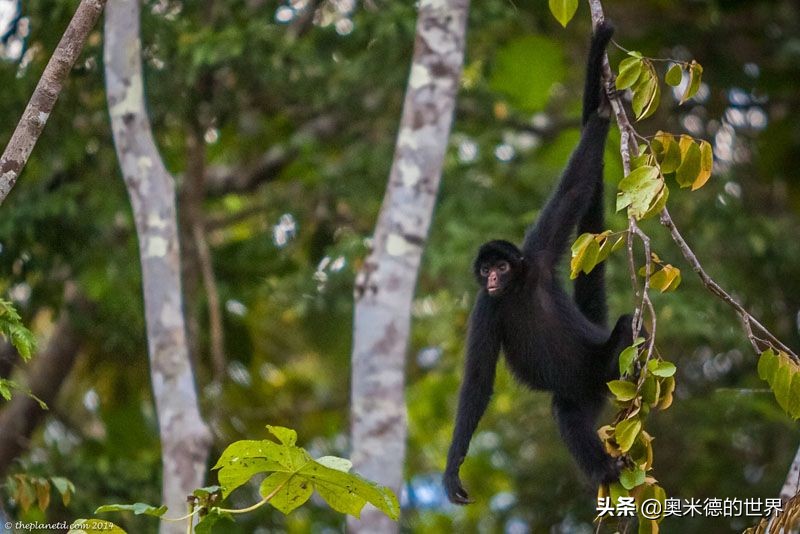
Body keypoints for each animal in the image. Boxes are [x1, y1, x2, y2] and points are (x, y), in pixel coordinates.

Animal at [444, 22, 632, 506]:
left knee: (625, 328)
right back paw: (605, 469)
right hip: (583, 392)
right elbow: (477, 382)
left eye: (502, 268)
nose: (492, 278)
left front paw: (600, 113)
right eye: (486, 272)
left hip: (599, 363)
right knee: (566, 412)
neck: (518, 289)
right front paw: (453, 469)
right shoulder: (486, 306)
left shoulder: (540, 255)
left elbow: (576, 187)